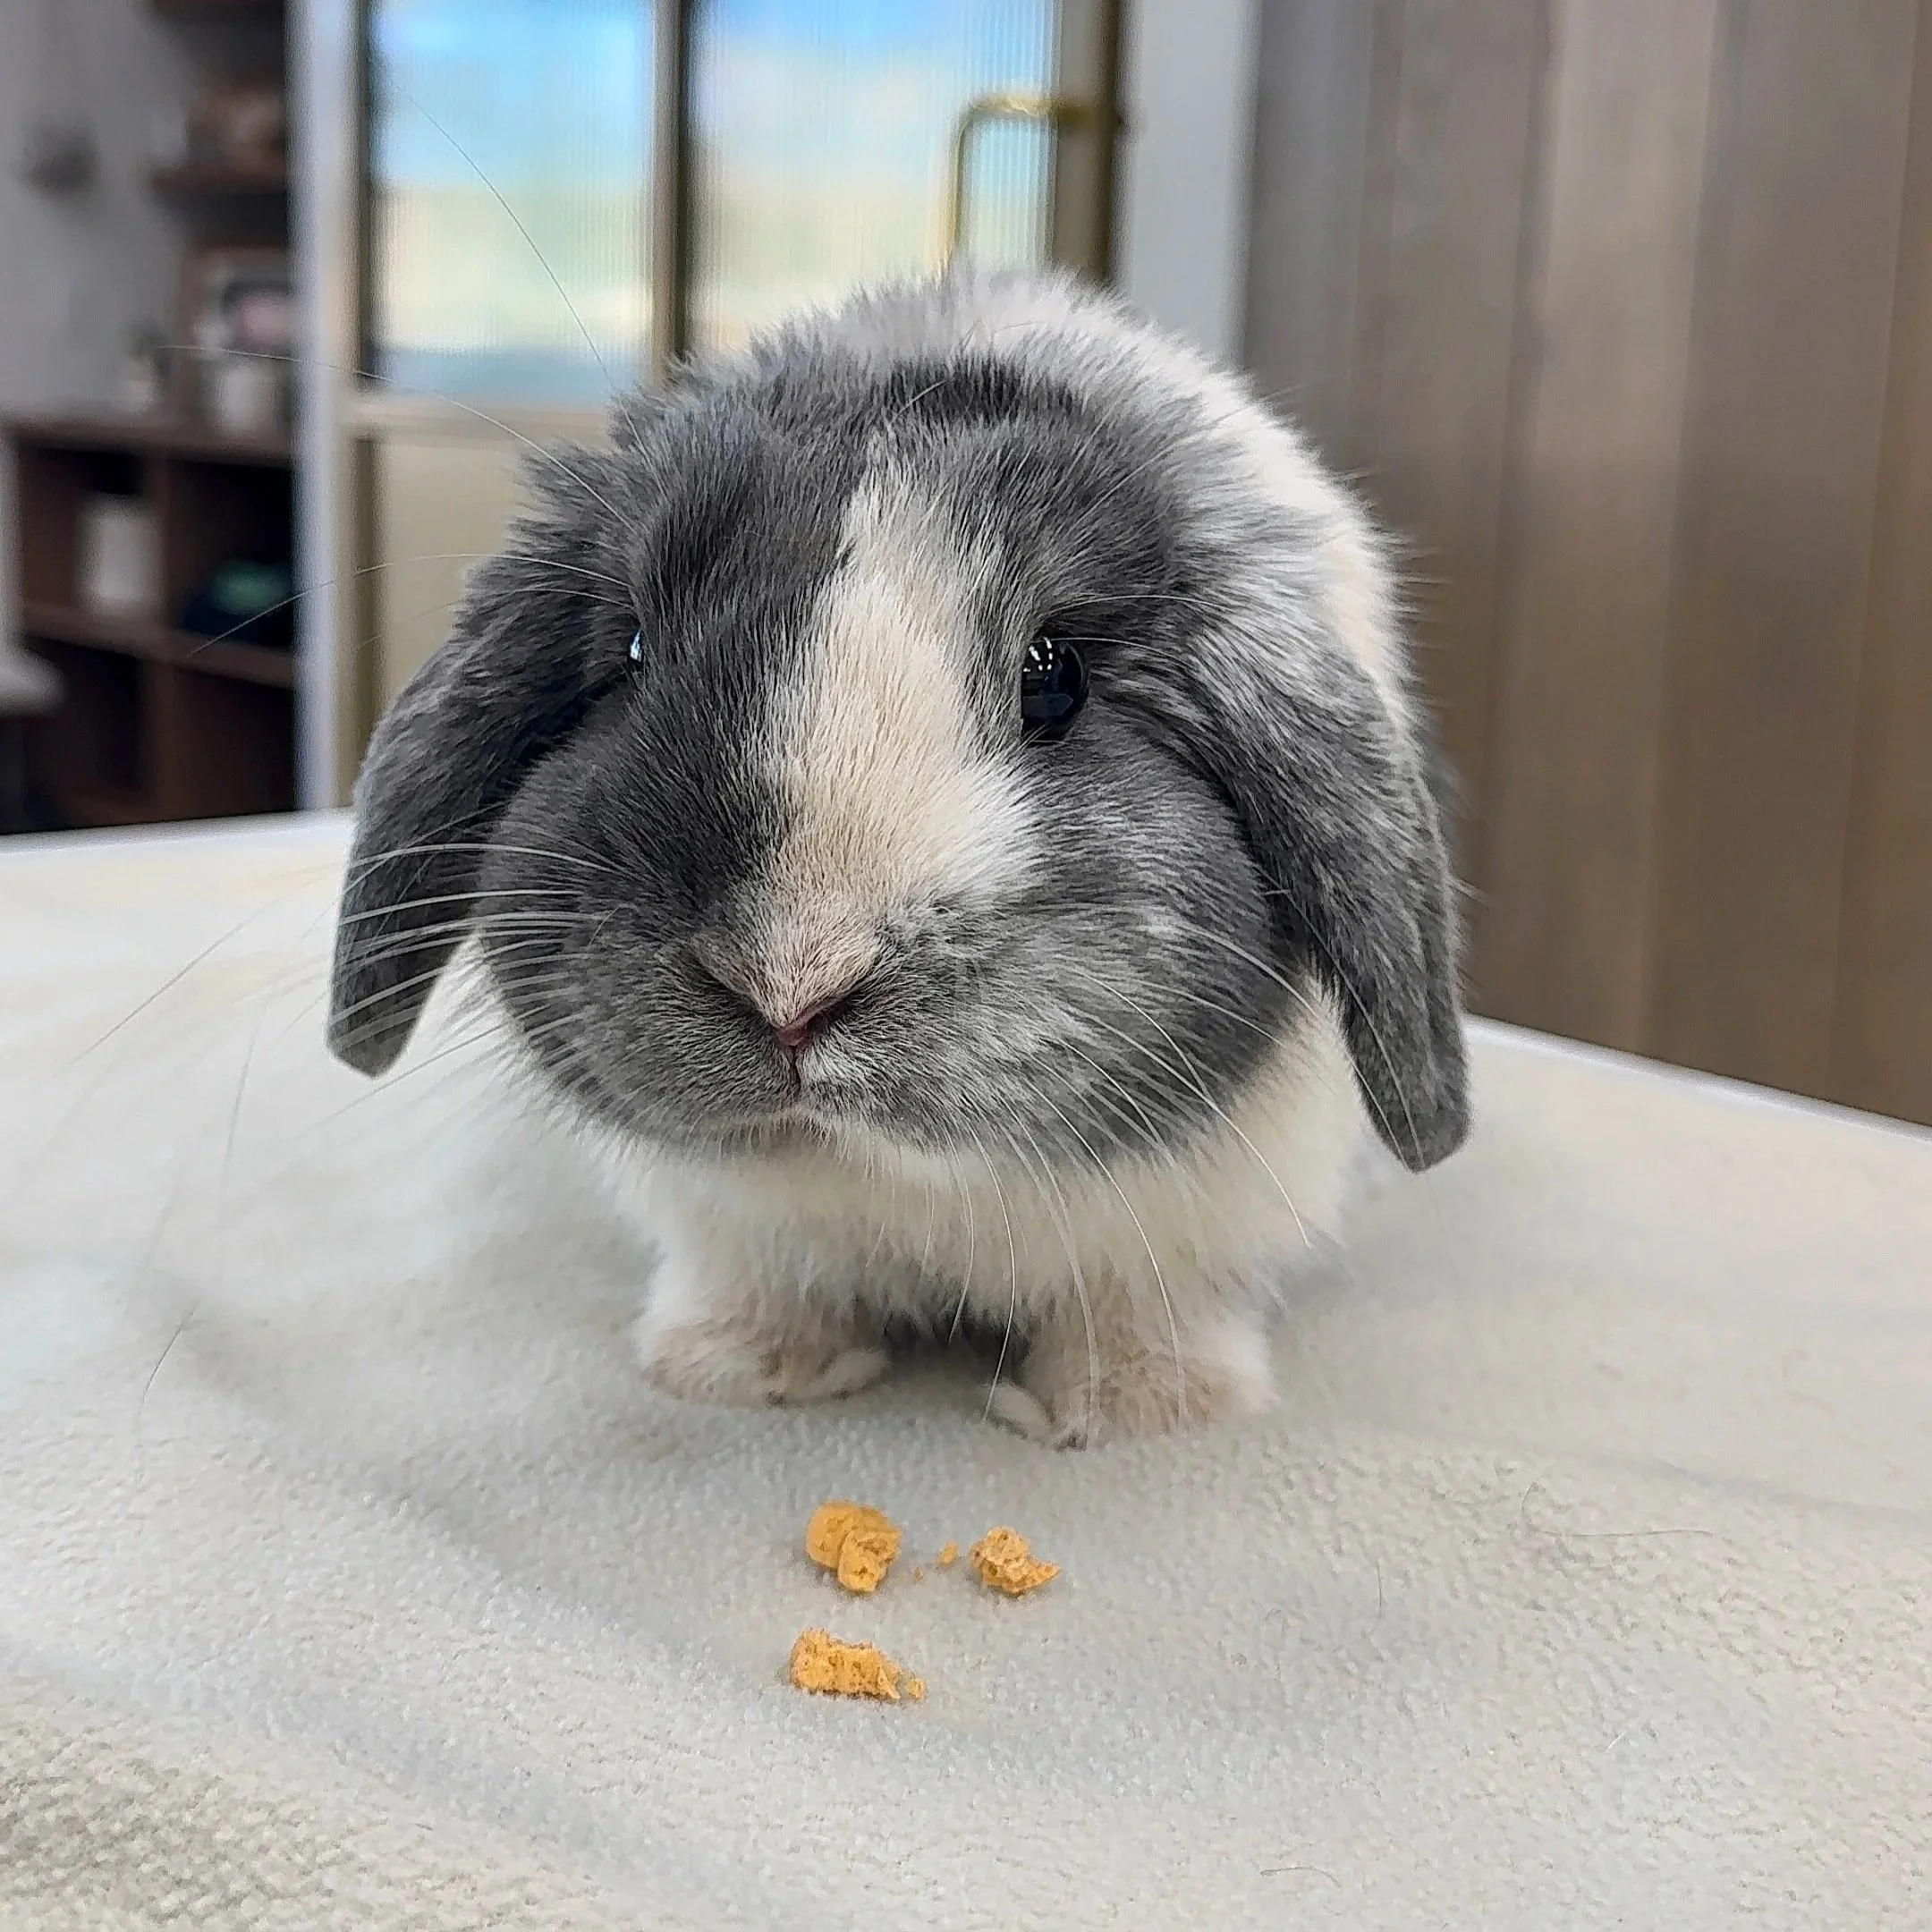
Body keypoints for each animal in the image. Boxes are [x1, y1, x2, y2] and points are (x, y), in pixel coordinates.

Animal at [326, 271, 1469, 1447]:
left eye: (1056, 677)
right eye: (635, 651)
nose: (791, 983)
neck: (905, 1185)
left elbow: (1146, 1305)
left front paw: (1139, 1410)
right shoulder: (732, 1230)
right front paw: (738, 1371)